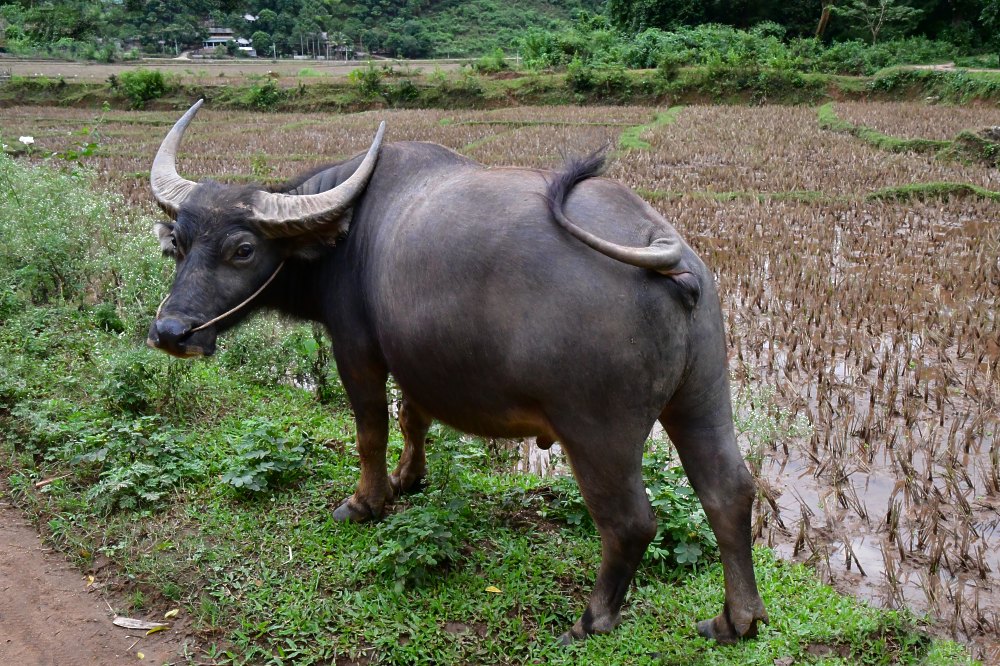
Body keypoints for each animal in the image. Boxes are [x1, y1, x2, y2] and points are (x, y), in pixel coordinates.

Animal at [146, 100, 768, 644]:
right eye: (180, 244)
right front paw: (409, 478)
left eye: (243, 249)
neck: (344, 239)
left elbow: (371, 430)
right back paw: (735, 621)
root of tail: (662, 251)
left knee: (630, 522)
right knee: (729, 492)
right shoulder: (416, 359)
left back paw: (591, 621)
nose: (170, 333)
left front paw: (366, 502)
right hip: (703, 395)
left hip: (598, 432)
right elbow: (413, 418)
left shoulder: (357, 350)